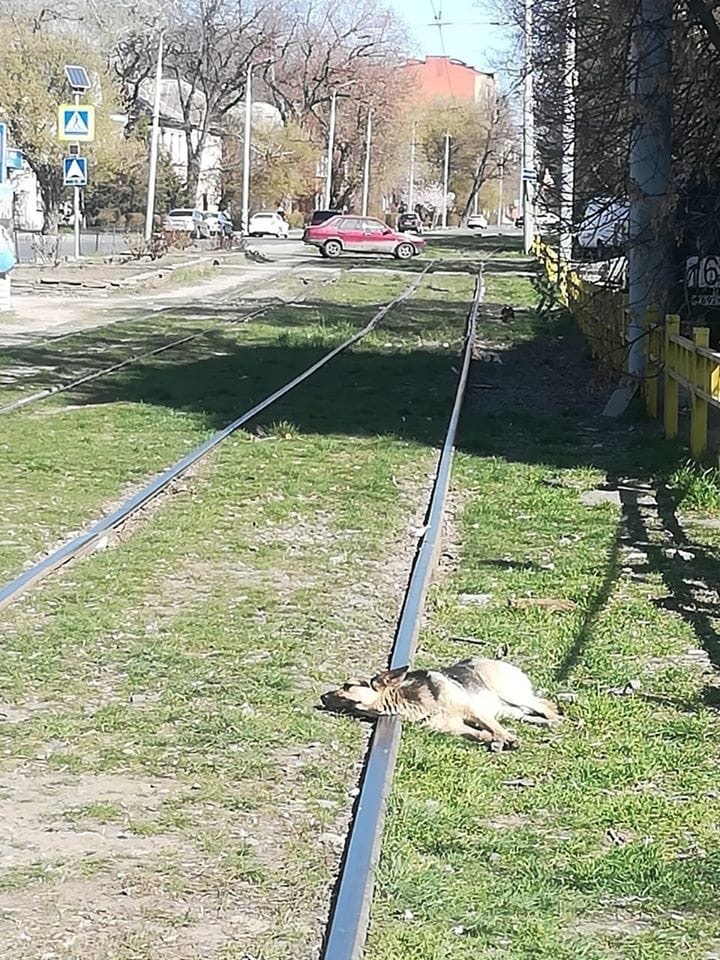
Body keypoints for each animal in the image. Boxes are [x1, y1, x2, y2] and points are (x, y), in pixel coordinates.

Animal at [320, 656, 564, 752]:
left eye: (347, 685)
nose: (322, 697)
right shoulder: (453, 727)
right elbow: (481, 733)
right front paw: (493, 740)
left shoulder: (473, 711)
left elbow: (494, 728)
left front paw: (505, 738)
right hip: (507, 710)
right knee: (525, 714)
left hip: (511, 694)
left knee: (543, 705)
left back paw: (555, 720)